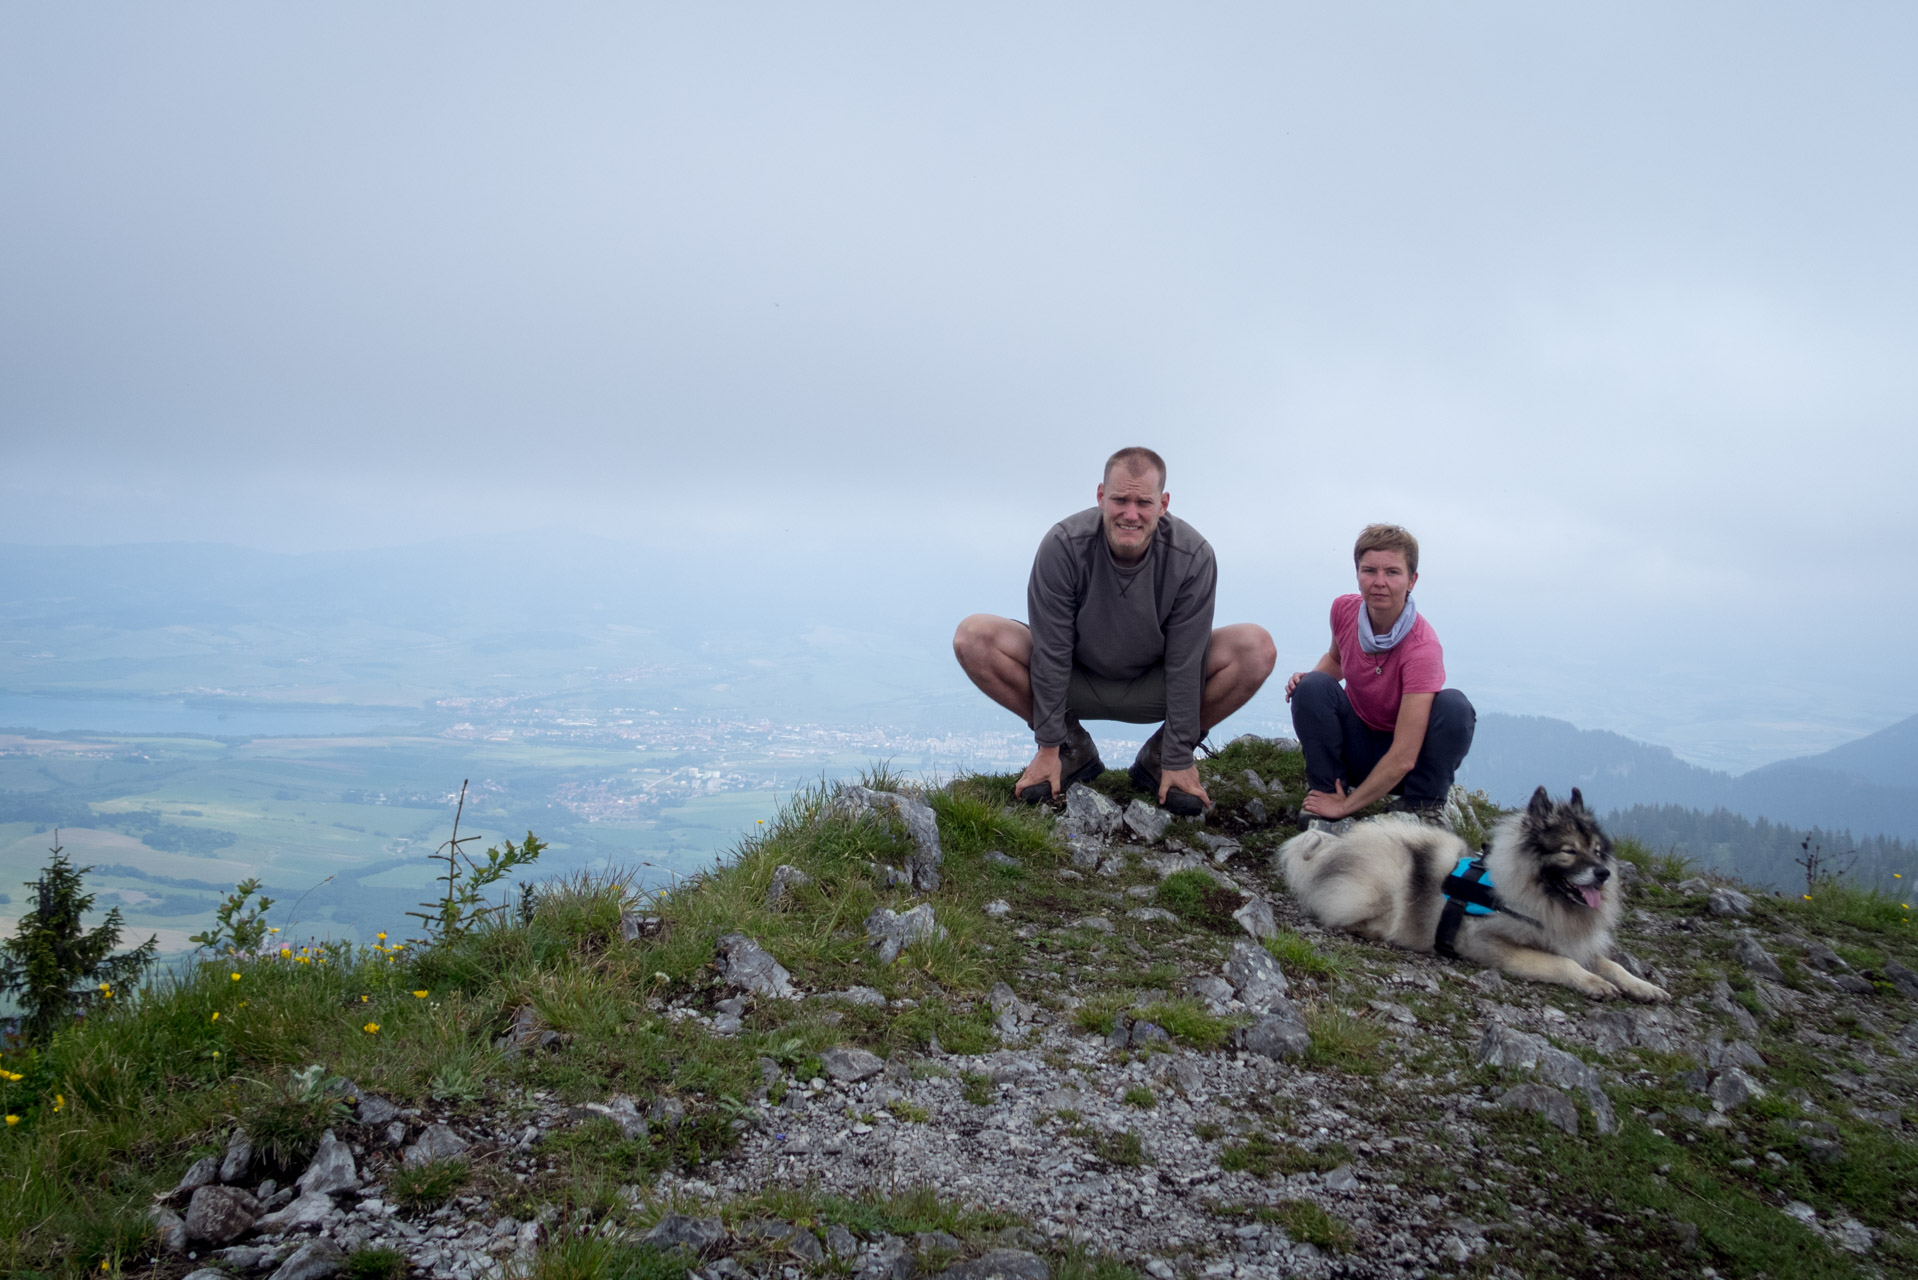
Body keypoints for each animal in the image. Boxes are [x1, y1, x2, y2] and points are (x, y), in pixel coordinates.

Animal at [1281, 786, 1672, 1005]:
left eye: (1597, 850)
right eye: (1569, 851)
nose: (1603, 874)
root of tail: (1335, 846)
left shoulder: (1570, 940)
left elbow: (1610, 963)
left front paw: (1643, 987)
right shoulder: (1491, 944)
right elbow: (1565, 964)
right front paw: (1594, 983)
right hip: (1380, 886)